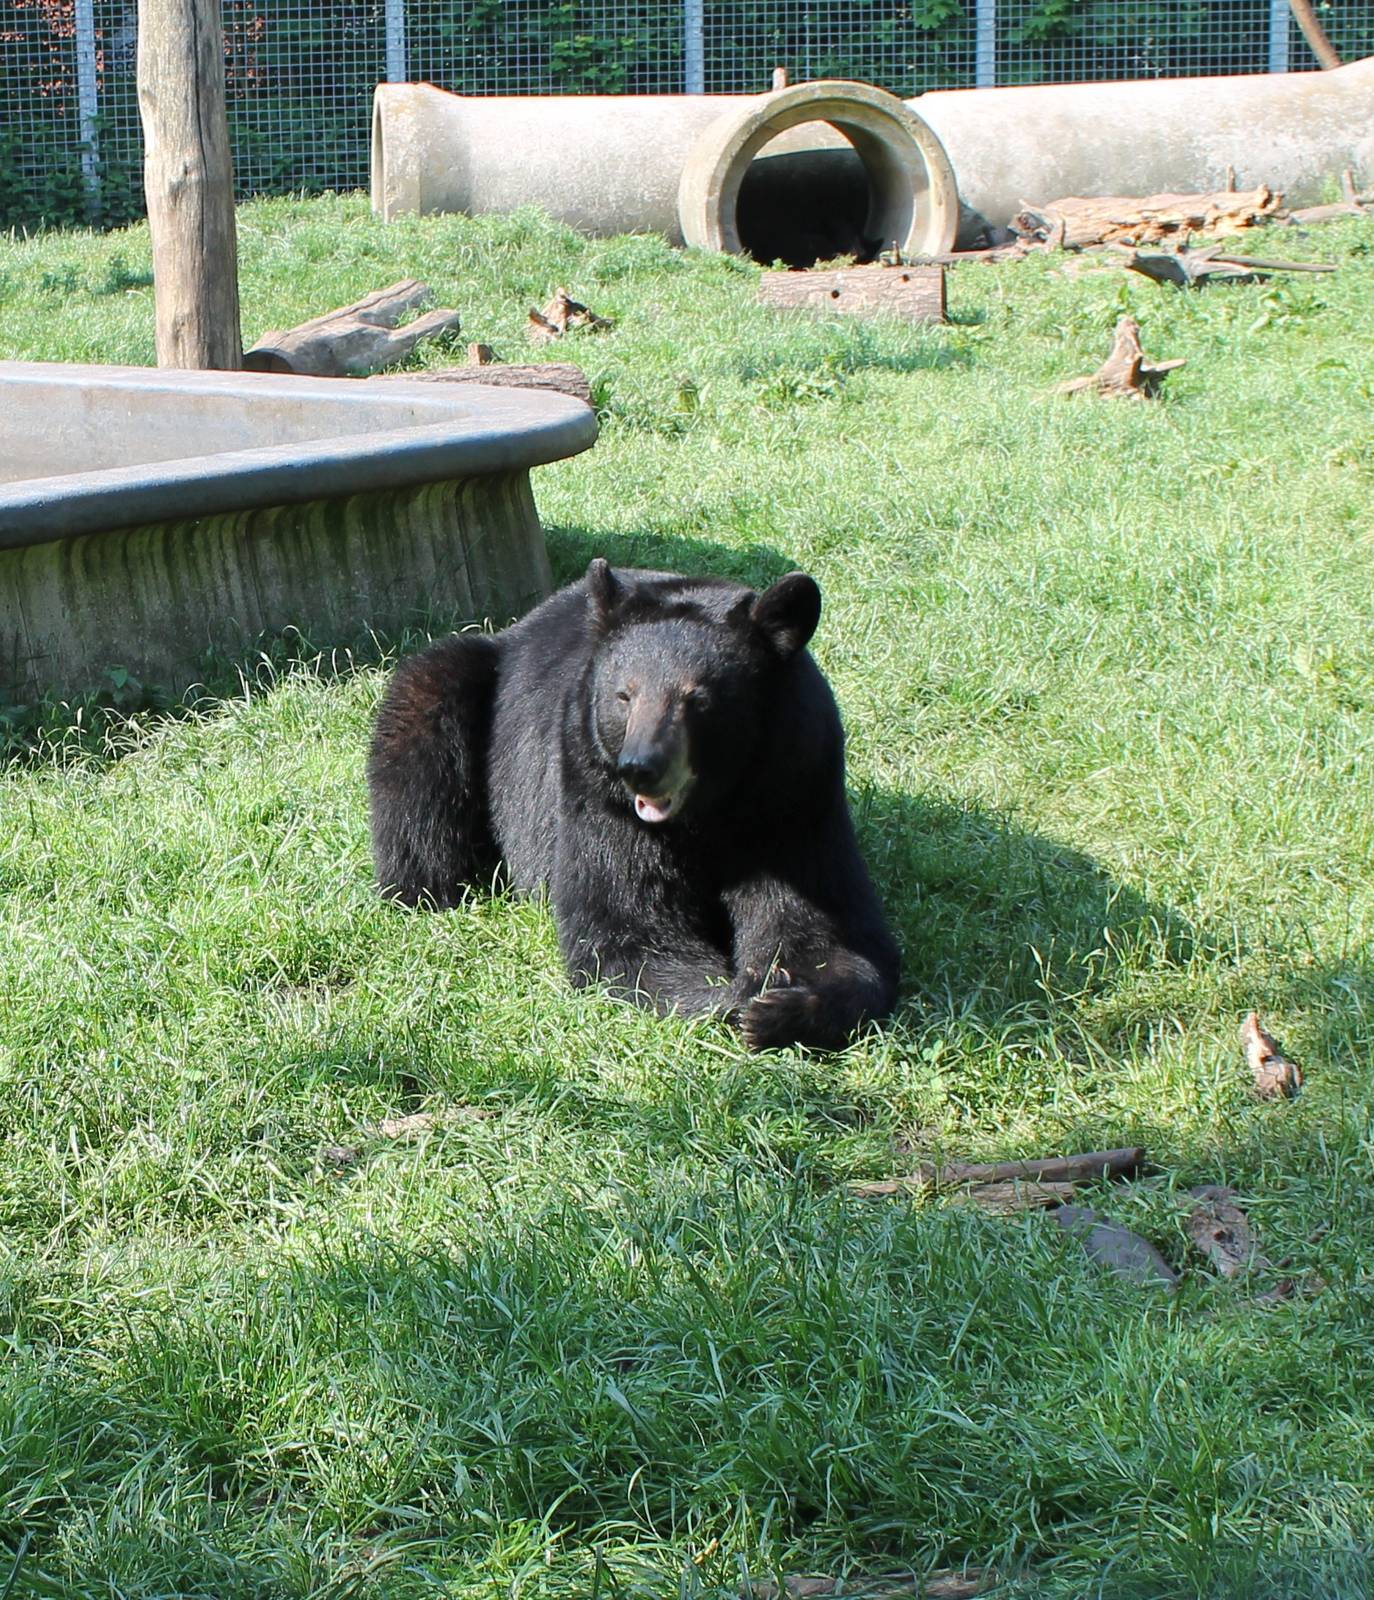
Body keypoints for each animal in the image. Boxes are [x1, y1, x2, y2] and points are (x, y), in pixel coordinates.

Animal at [366, 560, 899, 1051]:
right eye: (624, 695)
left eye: (698, 699)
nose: (640, 767)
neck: (709, 812)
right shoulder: (597, 794)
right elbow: (626, 928)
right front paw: (729, 999)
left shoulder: (794, 796)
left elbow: (820, 927)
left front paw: (782, 1004)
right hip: (460, 685)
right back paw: (427, 888)